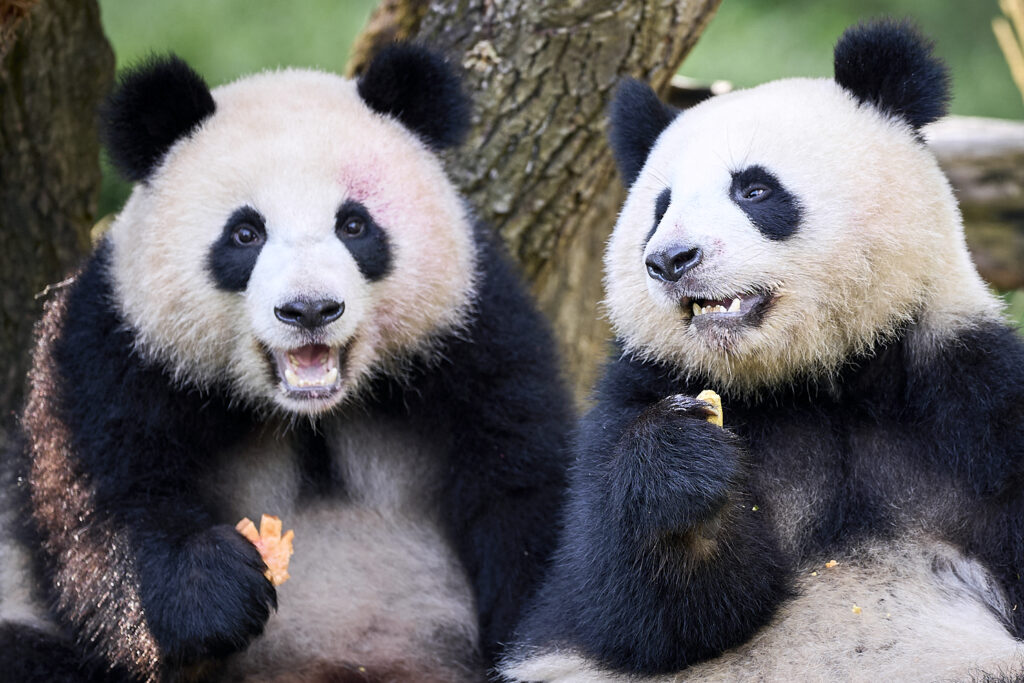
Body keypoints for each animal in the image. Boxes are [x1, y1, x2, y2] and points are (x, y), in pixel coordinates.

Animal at [0, 44, 572, 682]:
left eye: (354, 224)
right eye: (245, 233)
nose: (310, 309)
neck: (311, 414)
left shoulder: (475, 330)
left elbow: (523, 486)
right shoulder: (111, 348)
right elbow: (102, 502)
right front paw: (213, 591)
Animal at [500, 20, 1024, 683]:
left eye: (753, 188)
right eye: (660, 207)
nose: (670, 260)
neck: (818, 378)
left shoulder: (974, 402)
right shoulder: (629, 399)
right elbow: (623, 614)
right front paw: (683, 465)